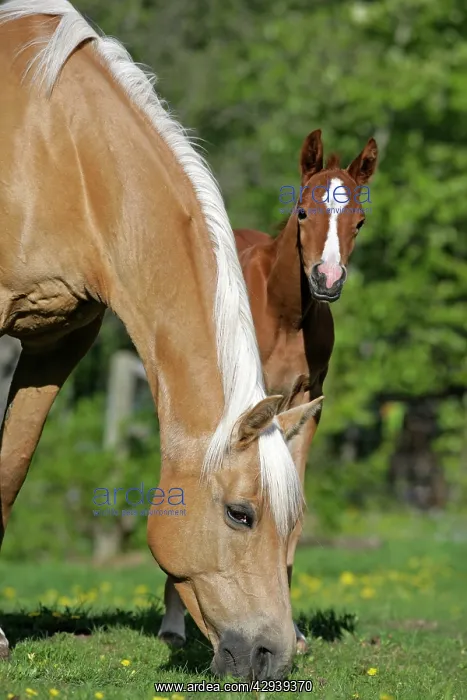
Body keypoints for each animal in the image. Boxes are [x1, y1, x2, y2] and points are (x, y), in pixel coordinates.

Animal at [0, 0, 323, 679]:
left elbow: (9, 472)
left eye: (294, 521)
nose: (272, 656)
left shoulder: (57, 341)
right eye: (240, 514)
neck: (58, 150)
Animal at [235, 129, 378, 651]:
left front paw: (290, 631)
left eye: (360, 220)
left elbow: (288, 503)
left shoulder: (307, 404)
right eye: (301, 211)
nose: (327, 279)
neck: (285, 313)